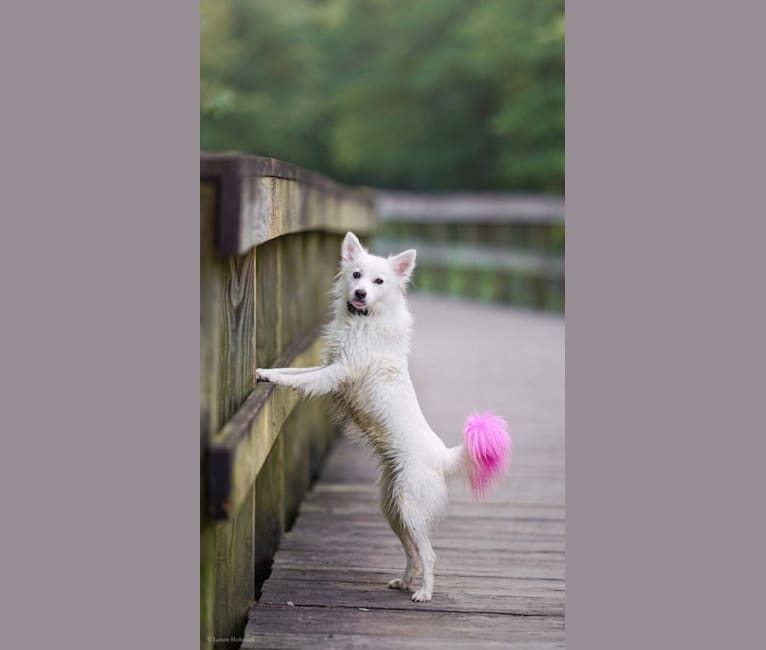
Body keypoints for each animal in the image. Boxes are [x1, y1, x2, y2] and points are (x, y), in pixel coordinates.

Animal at [255, 230, 512, 600]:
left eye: (379, 281)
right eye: (356, 275)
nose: (360, 293)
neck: (365, 319)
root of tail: (443, 457)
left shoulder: (335, 374)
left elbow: (301, 379)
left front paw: (277, 380)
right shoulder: (329, 365)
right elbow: (295, 368)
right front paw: (266, 371)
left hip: (410, 507)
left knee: (429, 554)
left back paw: (424, 593)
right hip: (394, 510)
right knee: (413, 553)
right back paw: (405, 582)